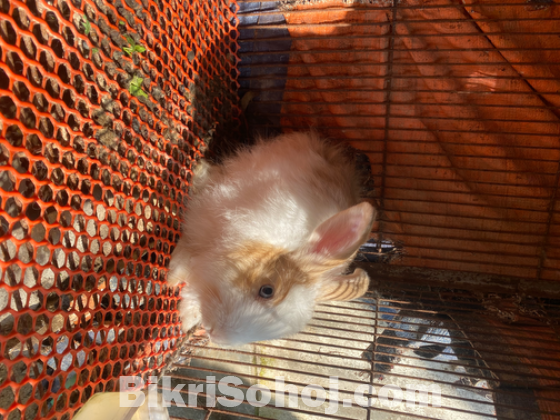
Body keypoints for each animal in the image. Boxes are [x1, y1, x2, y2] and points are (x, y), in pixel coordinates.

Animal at [167, 131, 376, 344]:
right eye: (267, 291)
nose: (216, 335)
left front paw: (187, 319)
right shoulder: (210, 215)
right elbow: (186, 254)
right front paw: (171, 278)